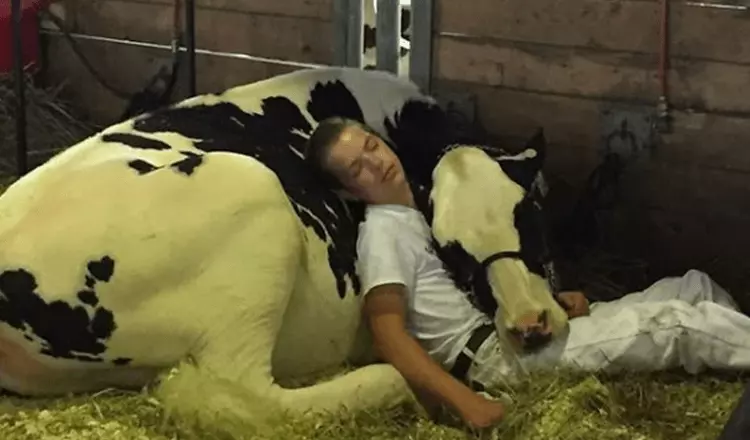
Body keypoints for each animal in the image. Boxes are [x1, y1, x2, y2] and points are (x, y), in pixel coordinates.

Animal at [0, 67, 568, 428]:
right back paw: (387, 383)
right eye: (452, 251)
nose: (531, 324)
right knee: (241, 396)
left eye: (531, 215)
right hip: (254, 204)